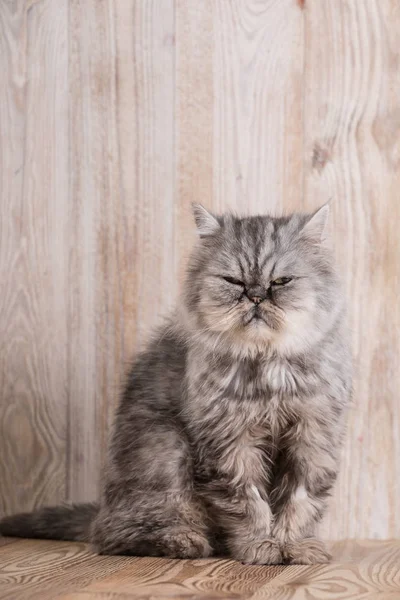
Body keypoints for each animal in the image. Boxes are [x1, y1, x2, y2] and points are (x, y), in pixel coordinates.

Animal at [0, 204, 350, 564]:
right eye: (233, 281)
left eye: (281, 281)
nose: (255, 296)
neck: (267, 366)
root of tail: (101, 511)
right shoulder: (229, 442)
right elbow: (248, 502)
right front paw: (260, 545)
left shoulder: (311, 439)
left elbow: (300, 502)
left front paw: (296, 546)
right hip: (167, 449)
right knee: (117, 536)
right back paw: (184, 540)